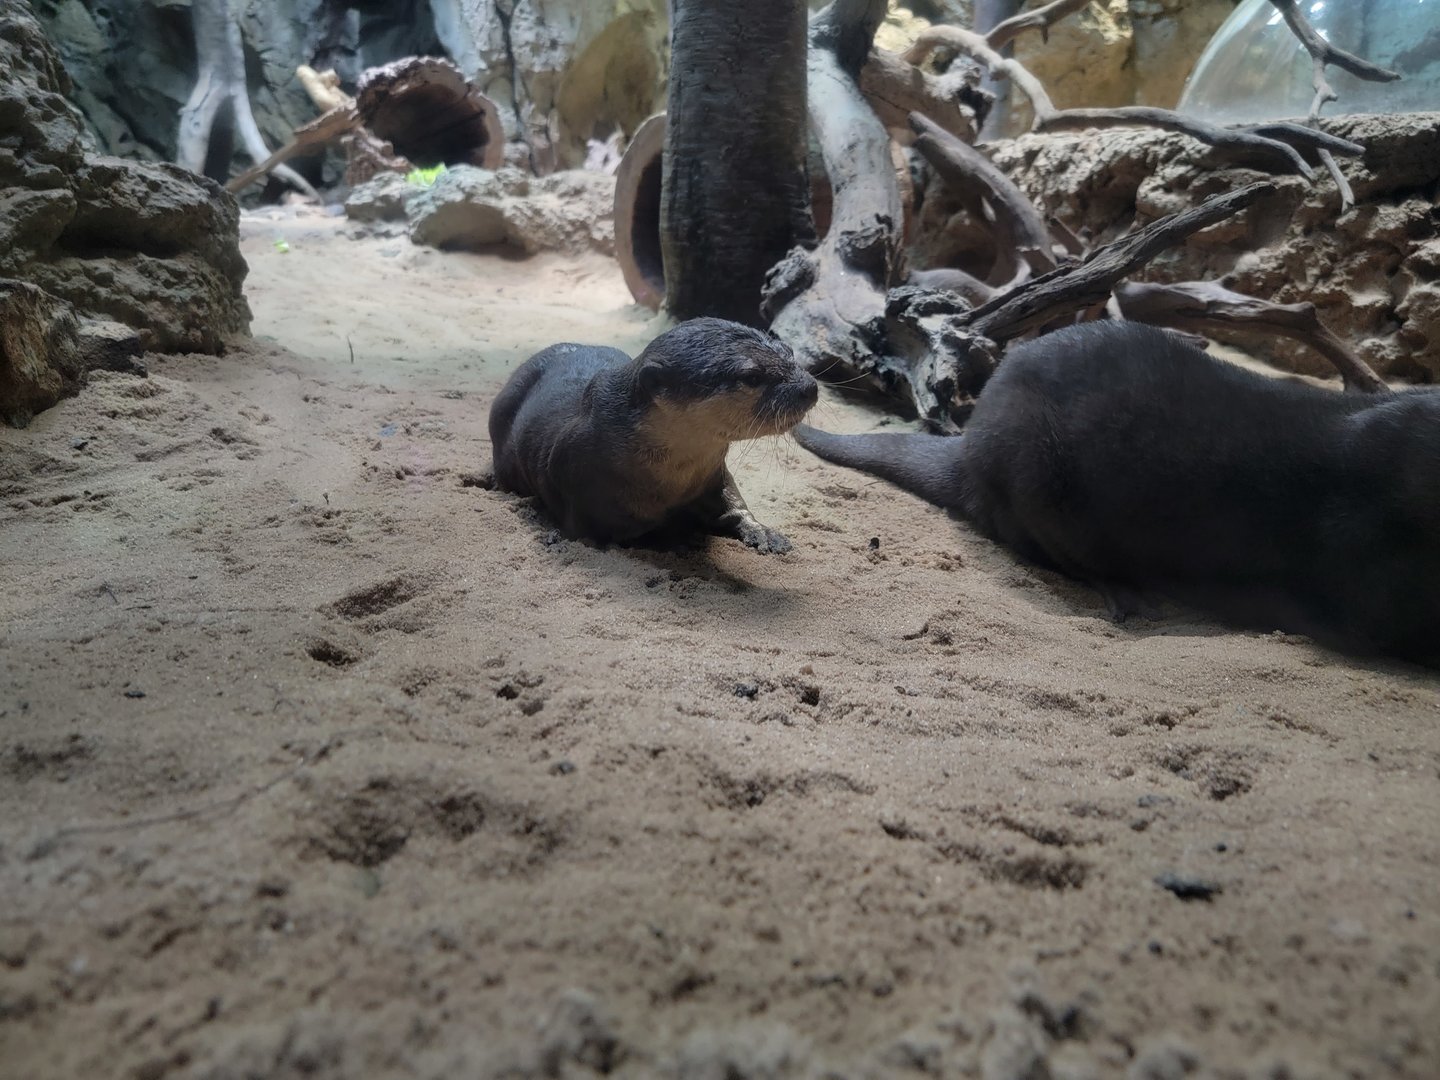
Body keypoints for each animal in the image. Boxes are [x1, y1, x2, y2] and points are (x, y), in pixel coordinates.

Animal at [490, 317, 818, 552]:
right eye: (751, 376)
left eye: (789, 352)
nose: (810, 387)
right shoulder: (573, 481)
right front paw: (674, 536)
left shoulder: (713, 472)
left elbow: (732, 499)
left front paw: (762, 531)